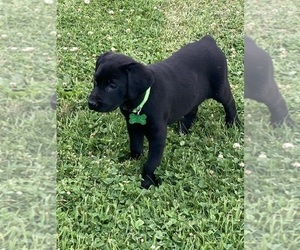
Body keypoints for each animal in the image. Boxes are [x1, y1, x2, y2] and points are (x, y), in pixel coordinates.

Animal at [87, 34, 239, 188]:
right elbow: (135, 146)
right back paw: (183, 130)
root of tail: (208, 41)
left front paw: (147, 182)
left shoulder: (158, 135)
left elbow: (151, 162)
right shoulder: (133, 126)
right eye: (95, 81)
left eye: (112, 85)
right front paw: (132, 160)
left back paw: (232, 123)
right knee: (192, 109)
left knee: (230, 104)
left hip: (220, 88)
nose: (91, 103)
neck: (144, 99)